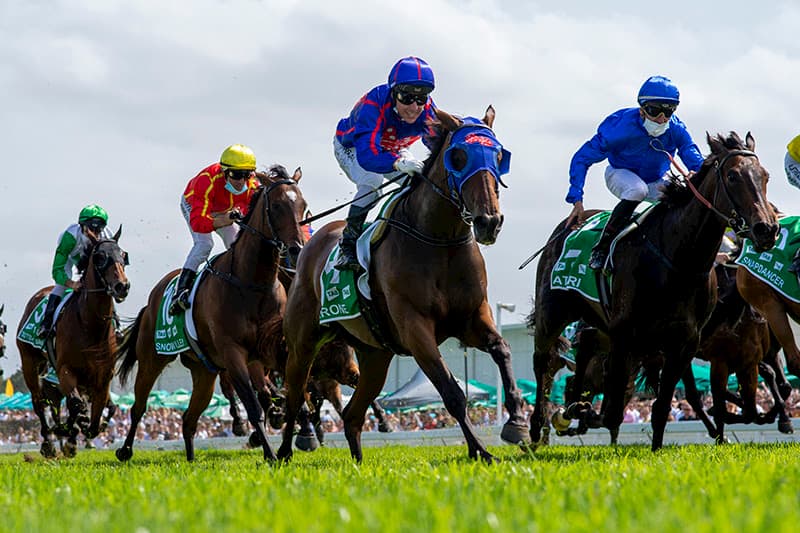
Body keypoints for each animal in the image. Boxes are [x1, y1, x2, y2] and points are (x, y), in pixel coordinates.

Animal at [18, 229, 130, 457]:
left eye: (123, 255)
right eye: (100, 257)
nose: (122, 286)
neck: (91, 325)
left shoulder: (103, 377)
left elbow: (101, 413)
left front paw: (83, 430)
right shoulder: (65, 370)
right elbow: (76, 405)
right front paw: (71, 432)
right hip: (29, 363)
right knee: (39, 402)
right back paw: (48, 443)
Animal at [115, 166, 307, 462]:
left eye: (303, 205)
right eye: (276, 206)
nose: (297, 249)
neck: (251, 283)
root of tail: (151, 300)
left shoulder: (270, 350)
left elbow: (286, 389)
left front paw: (292, 423)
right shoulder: (233, 352)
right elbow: (253, 404)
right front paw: (271, 453)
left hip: (203, 371)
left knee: (188, 419)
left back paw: (191, 459)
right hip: (152, 359)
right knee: (139, 406)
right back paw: (125, 450)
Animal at [277, 106, 529, 464]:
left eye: (498, 156)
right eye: (459, 157)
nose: (488, 221)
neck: (440, 240)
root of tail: (304, 252)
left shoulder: (472, 319)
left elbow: (503, 349)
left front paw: (517, 423)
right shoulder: (415, 328)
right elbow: (452, 391)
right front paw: (480, 450)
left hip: (374, 355)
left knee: (352, 414)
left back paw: (358, 464)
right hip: (303, 344)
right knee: (295, 395)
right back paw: (283, 451)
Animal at [530, 132, 778, 451]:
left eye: (765, 176)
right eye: (733, 176)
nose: (766, 229)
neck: (678, 261)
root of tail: (567, 226)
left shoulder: (684, 342)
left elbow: (661, 406)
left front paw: (658, 447)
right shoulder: (625, 334)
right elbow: (612, 410)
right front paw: (576, 414)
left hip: (600, 326)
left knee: (582, 355)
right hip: (553, 314)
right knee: (543, 364)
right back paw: (537, 427)